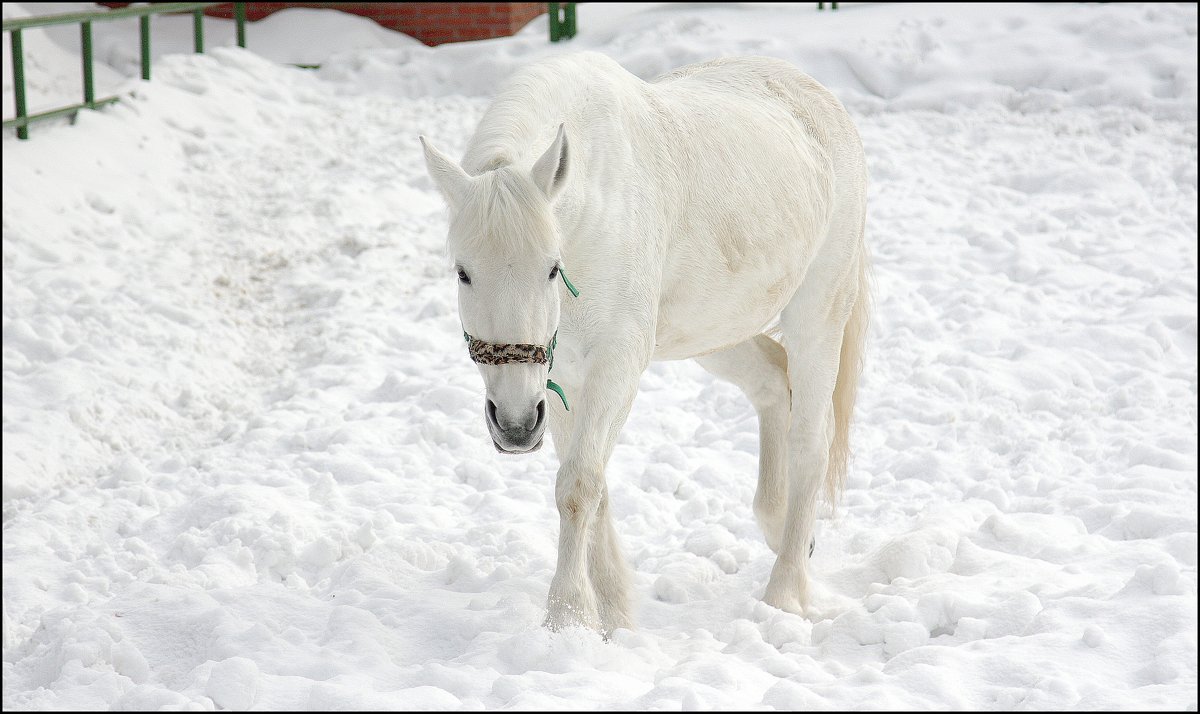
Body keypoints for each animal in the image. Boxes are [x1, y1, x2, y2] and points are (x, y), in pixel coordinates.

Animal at [424, 50, 873, 633]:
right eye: (463, 273)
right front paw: (614, 612)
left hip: (817, 311)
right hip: (713, 330)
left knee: (811, 441)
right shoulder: (558, 378)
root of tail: (822, 100)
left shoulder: (616, 363)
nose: (515, 426)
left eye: (551, 269)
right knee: (773, 383)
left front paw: (568, 617)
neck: (590, 213)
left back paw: (785, 594)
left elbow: (579, 485)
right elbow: (593, 486)